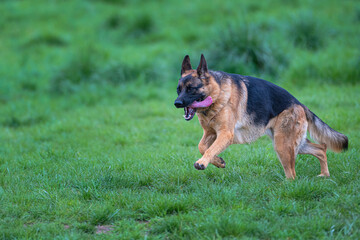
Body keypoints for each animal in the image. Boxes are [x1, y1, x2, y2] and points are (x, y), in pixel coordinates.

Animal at [174, 54, 348, 178]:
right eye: (178, 89)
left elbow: (209, 150)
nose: (176, 103)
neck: (217, 95)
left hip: (283, 145)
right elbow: (202, 147)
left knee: (292, 175)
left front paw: (203, 163)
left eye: (191, 89)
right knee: (321, 148)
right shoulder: (211, 133)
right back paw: (324, 175)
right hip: (293, 144)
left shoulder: (225, 134)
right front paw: (218, 162)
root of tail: (299, 104)